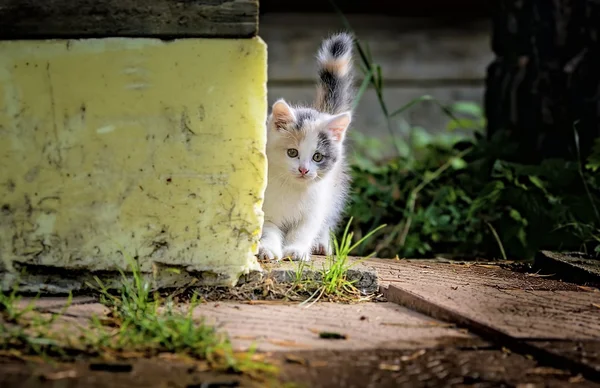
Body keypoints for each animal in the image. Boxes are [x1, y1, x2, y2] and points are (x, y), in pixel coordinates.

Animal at [258, 31, 356, 262]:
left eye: (318, 157)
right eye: (292, 153)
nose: (303, 170)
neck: (293, 188)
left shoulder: (315, 208)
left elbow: (304, 230)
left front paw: (296, 250)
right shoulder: (266, 208)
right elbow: (269, 229)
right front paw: (268, 249)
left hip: (334, 191)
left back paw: (321, 243)